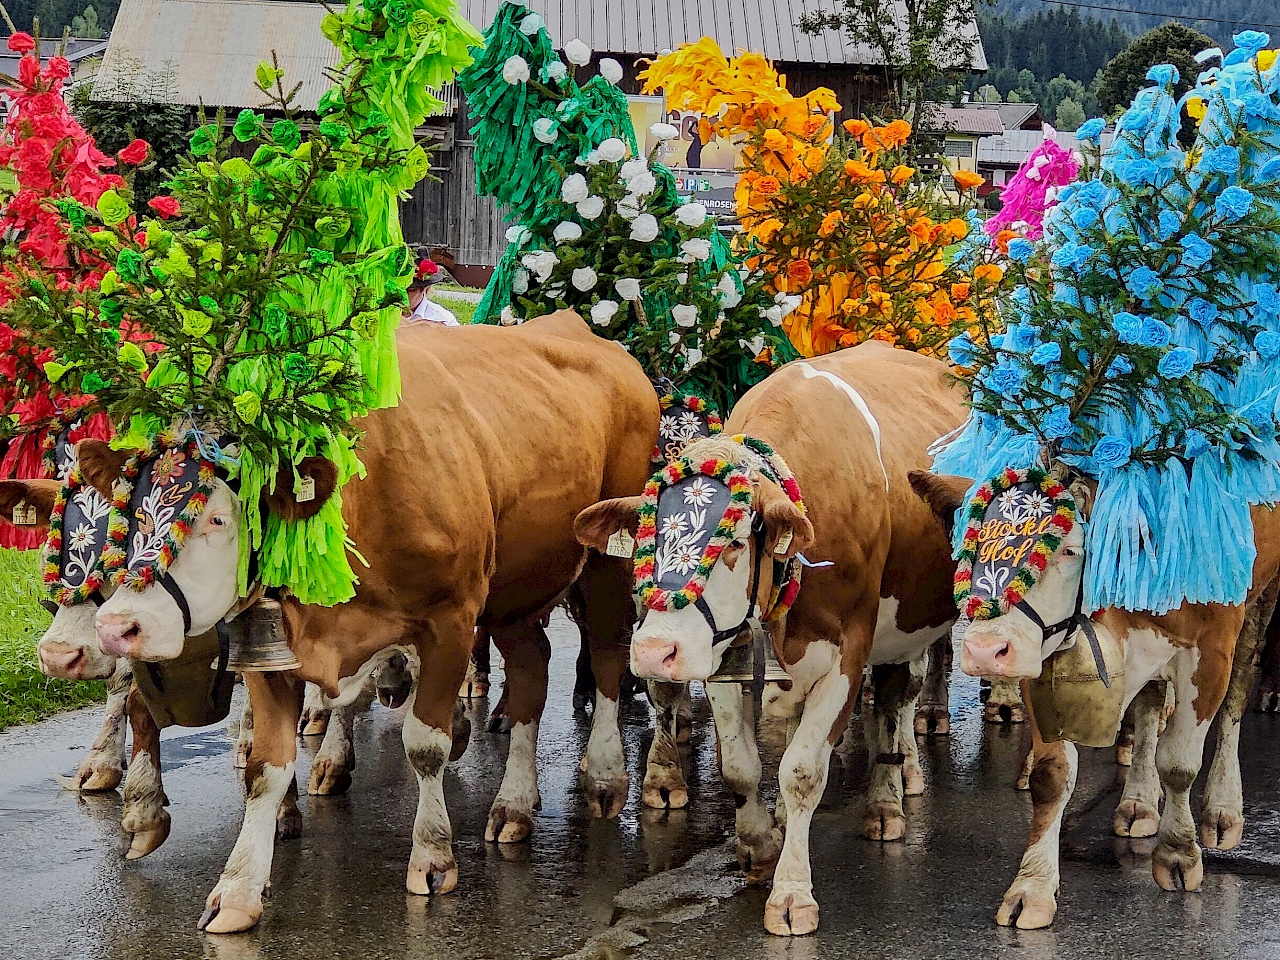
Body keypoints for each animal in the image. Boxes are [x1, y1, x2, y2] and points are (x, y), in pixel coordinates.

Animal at [77, 313, 660, 931]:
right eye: (126, 506)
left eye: (216, 517)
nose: (118, 626)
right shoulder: (270, 642)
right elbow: (265, 767)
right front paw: (237, 889)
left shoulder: (451, 620)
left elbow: (426, 745)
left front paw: (433, 856)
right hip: (517, 587)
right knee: (532, 672)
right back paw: (515, 805)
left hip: (606, 558)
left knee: (606, 654)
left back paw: (604, 776)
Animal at [576, 343, 962, 936]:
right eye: (644, 534)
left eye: (734, 541)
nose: (653, 651)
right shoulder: (725, 654)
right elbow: (741, 766)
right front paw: (759, 846)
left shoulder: (849, 654)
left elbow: (802, 772)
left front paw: (791, 894)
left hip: (908, 630)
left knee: (898, 703)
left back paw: (887, 803)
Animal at [911, 471, 1280, 926]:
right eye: (969, 543)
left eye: (1070, 550)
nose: (984, 650)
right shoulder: (1043, 651)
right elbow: (1051, 776)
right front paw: (1032, 887)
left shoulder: (1213, 646)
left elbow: (1179, 763)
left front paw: (1178, 853)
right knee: (1150, 703)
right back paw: (1139, 800)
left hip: (1261, 601)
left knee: (1237, 692)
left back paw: (1222, 807)